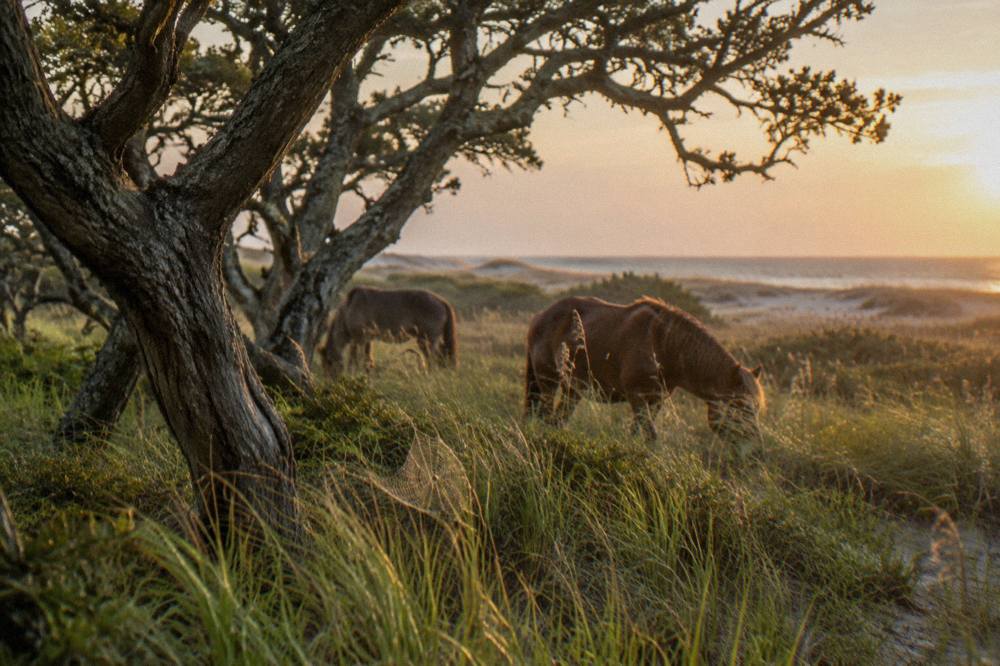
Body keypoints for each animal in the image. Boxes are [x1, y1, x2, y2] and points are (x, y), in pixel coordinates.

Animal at [321, 286, 458, 376]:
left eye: (329, 362)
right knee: (440, 356)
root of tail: (441, 301)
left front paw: (353, 373)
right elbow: (367, 357)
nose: (332, 380)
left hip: (427, 339)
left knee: (433, 358)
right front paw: (367, 372)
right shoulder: (367, 339)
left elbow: (354, 358)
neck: (348, 309)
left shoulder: (359, 339)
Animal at [524, 296, 764, 441]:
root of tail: (539, 317)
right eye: (740, 406)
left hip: (572, 390)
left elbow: (639, 433)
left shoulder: (656, 399)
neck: (662, 343)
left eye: (756, 408)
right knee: (545, 415)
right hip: (548, 382)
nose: (754, 446)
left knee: (557, 420)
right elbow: (649, 435)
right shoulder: (638, 398)